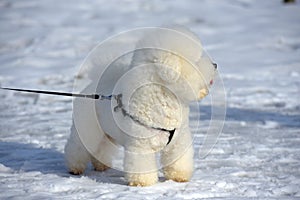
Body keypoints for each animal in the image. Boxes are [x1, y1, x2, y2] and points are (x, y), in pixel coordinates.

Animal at [65, 26, 216, 186]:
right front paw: (143, 182)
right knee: (77, 147)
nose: (215, 65)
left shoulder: (179, 141)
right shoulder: (141, 146)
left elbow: (178, 161)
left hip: (106, 134)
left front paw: (179, 177)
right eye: (197, 59)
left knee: (102, 149)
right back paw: (74, 168)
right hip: (87, 129)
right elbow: (141, 165)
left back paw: (101, 165)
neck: (164, 98)